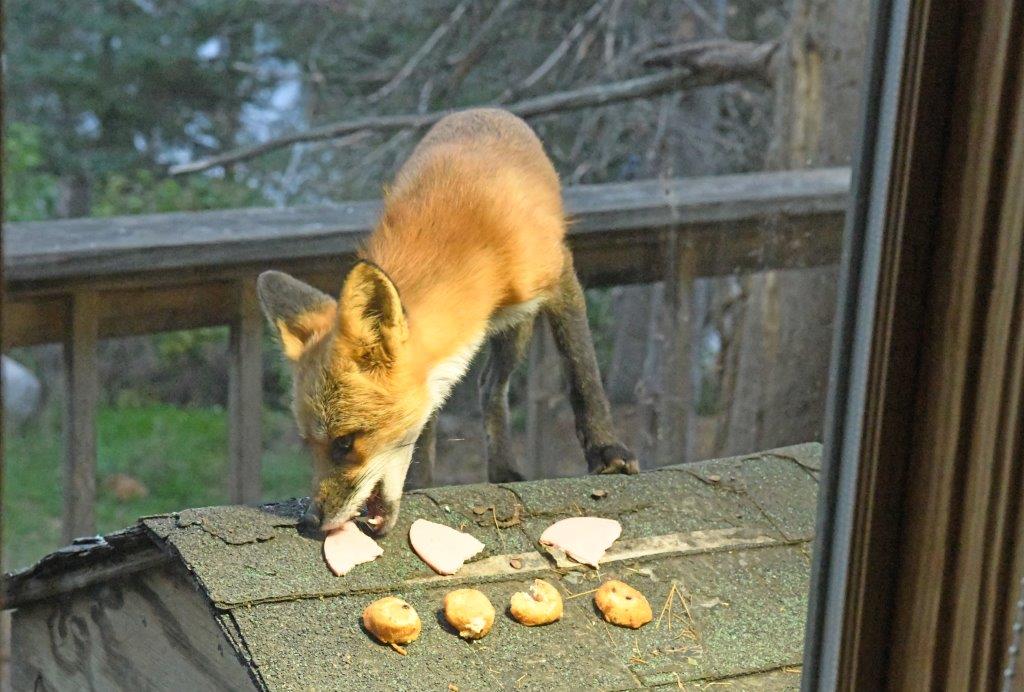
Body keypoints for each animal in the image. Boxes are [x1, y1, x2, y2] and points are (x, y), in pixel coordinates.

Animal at [257, 108, 638, 537]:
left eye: (345, 443)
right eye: (310, 447)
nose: (309, 522)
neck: (471, 241)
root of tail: (485, 110)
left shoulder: (560, 275)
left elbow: (582, 372)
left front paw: (607, 451)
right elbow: (425, 427)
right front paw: (422, 484)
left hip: (519, 323)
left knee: (492, 386)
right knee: (487, 387)